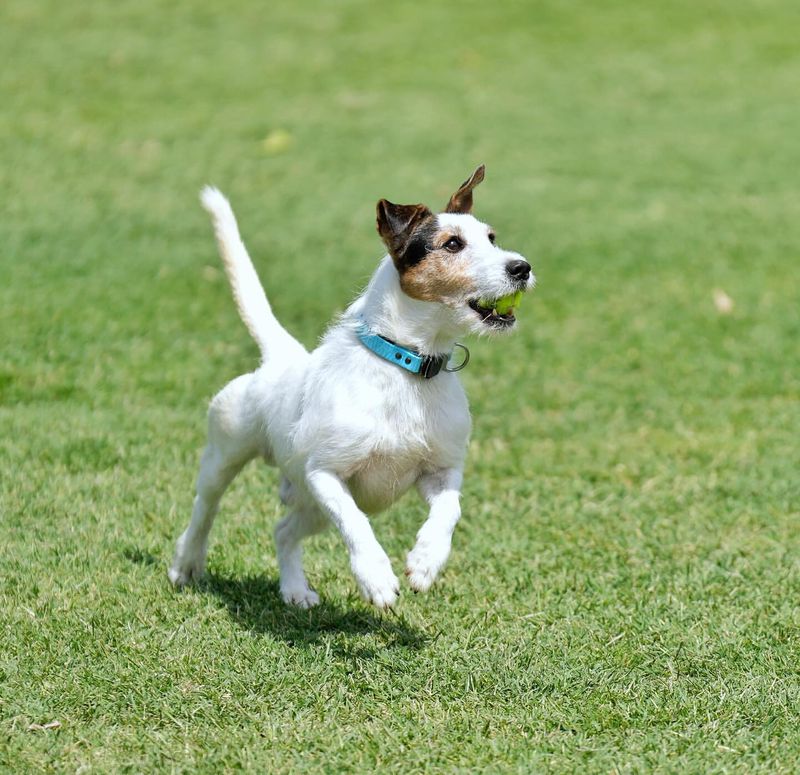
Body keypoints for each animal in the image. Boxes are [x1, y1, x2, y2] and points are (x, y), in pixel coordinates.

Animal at [166, 167, 536, 608]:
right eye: (452, 243)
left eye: (491, 238)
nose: (522, 267)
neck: (406, 365)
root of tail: (282, 358)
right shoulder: (326, 474)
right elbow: (356, 523)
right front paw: (375, 577)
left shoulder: (441, 471)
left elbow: (450, 511)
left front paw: (426, 561)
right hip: (226, 454)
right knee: (204, 509)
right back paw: (186, 564)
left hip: (310, 506)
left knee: (283, 531)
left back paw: (294, 590)